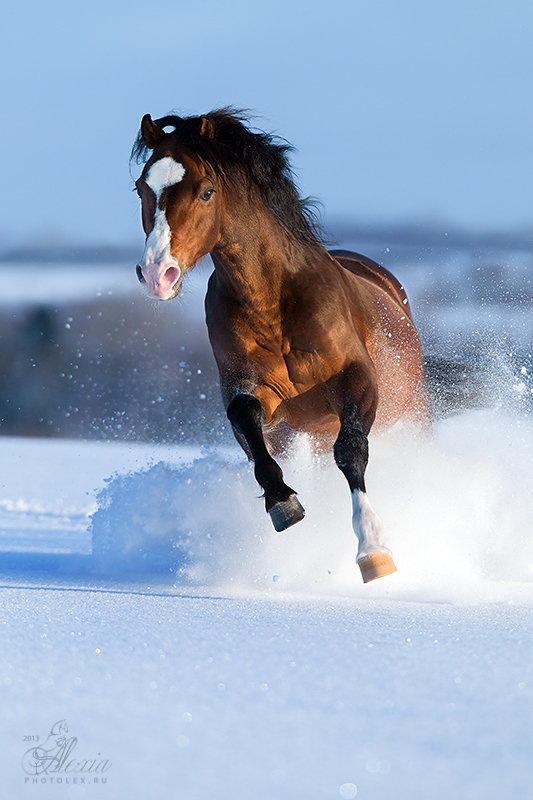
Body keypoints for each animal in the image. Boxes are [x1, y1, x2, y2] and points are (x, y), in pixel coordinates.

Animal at [132, 108, 428, 580]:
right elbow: (248, 422)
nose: (158, 272)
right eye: (143, 188)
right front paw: (283, 503)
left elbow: (351, 450)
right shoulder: (256, 393)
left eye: (206, 191)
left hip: (413, 418)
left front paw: (374, 550)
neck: (272, 301)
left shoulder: (357, 378)